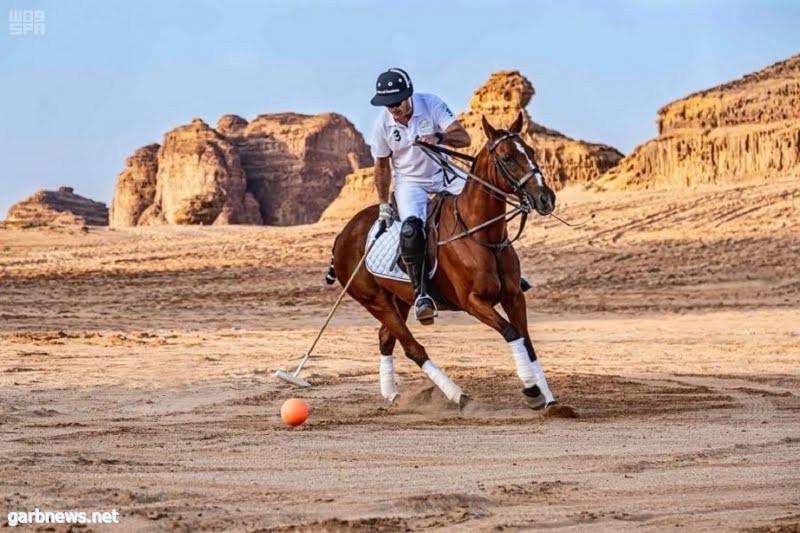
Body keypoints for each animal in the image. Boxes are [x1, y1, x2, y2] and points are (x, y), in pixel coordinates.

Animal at [328, 114, 580, 418]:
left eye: (531, 152)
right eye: (507, 157)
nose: (546, 198)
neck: (482, 234)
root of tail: (342, 235)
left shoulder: (514, 296)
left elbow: (527, 341)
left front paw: (552, 402)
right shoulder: (473, 301)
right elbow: (511, 332)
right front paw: (532, 392)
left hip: (401, 299)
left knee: (386, 338)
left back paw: (394, 395)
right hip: (374, 300)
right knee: (412, 347)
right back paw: (459, 396)